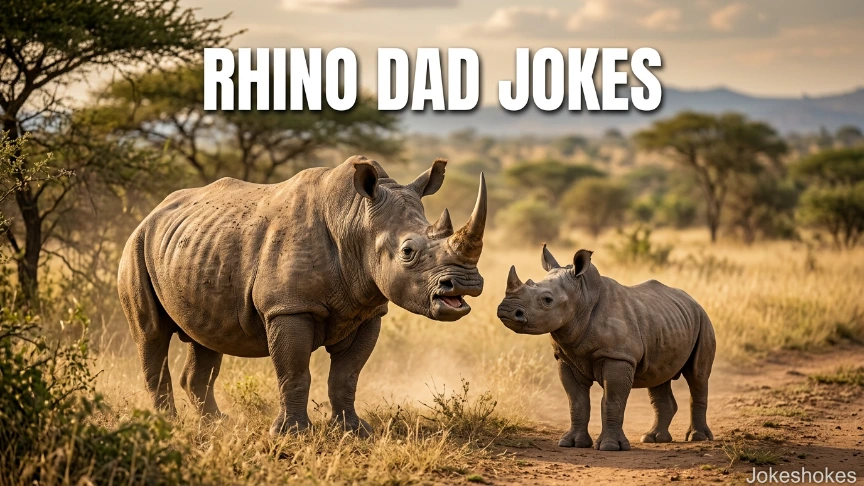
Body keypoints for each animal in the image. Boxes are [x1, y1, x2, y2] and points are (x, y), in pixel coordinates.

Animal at [118, 156, 487, 435]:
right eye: (408, 251)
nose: (466, 284)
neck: (356, 221)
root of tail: (152, 212)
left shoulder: (368, 311)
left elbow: (346, 375)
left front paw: (354, 431)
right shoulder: (288, 308)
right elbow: (294, 372)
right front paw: (292, 434)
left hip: (195, 246)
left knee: (206, 338)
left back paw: (216, 424)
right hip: (136, 246)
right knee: (151, 334)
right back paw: (167, 425)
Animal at [496, 246, 715, 451]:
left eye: (547, 300)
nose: (506, 310)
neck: (582, 298)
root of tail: (693, 300)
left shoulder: (618, 356)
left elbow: (612, 401)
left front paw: (611, 447)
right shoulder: (566, 358)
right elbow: (577, 401)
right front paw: (571, 443)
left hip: (703, 319)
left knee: (697, 375)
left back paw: (697, 437)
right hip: (665, 320)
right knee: (658, 377)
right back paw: (653, 439)